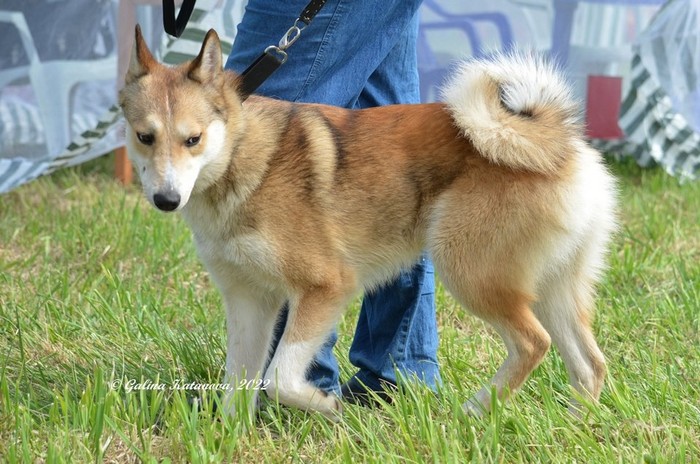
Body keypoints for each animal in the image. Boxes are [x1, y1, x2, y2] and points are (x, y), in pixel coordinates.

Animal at [119, 26, 617, 420]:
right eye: (145, 137)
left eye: (193, 139)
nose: (166, 199)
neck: (244, 158)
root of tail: (557, 143)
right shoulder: (249, 302)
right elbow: (237, 385)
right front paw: (229, 438)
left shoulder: (326, 286)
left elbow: (279, 378)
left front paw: (326, 405)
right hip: (553, 288)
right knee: (589, 364)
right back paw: (575, 427)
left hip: (471, 273)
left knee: (534, 343)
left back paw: (471, 414)